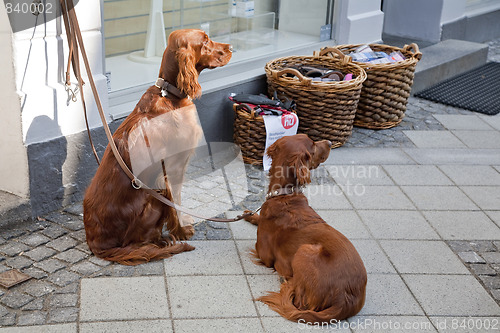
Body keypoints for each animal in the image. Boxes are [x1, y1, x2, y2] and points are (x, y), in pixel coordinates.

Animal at [245, 134, 368, 322]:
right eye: (313, 146)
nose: (330, 143)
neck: (285, 195)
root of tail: (345, 299)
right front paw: (250, 215)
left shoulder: (264, 254)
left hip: (305, 250)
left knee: (299, 300)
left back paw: (285, 280)